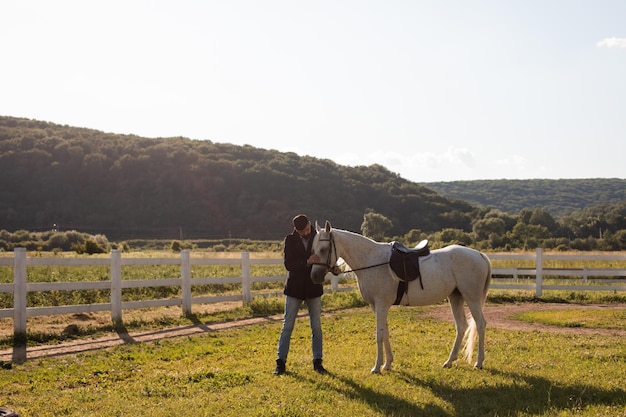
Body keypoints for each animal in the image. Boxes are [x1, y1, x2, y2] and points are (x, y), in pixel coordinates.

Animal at [310, 219, 490, 372]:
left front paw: (377, 367)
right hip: (455, 297)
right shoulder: (376, 306)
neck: (372, 261)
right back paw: (449, 361)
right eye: (313, 249)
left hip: (472, 298)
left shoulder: (381, 304)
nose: (314, 277)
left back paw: (479, 362)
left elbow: (379, 335)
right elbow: (385, 333)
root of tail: (479, 255)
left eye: (324, 249)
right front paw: (388, 364)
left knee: (480, 324)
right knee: (461, 326)